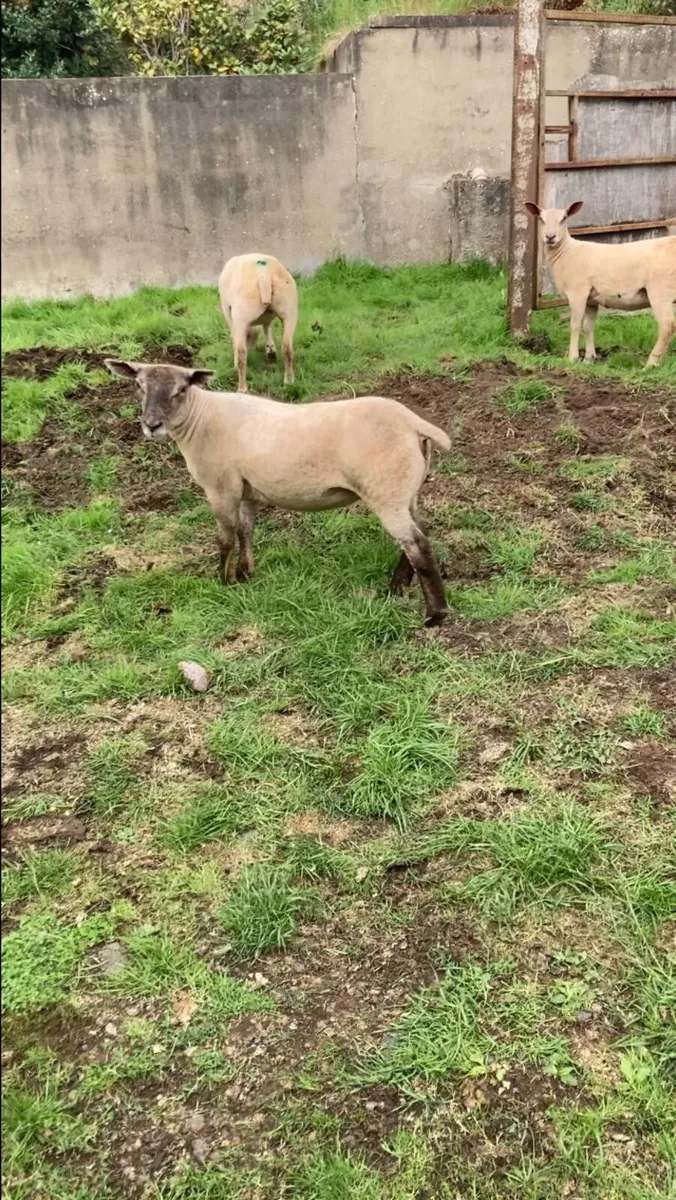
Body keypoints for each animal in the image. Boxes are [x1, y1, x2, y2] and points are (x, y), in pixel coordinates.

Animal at [103, 360, 451, 627]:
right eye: (139, 386)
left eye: (181, 389)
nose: (152, 425)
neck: (200, 418)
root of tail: (414, 424)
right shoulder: (246, 489)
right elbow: (245, 531)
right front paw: (245, 573)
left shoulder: (220, 487)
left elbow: (225, 538)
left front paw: (223, 582)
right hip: (405, 491)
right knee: (417, 536)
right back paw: (396, 588)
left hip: (386, 491)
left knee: (418, 545)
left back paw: (435, 614)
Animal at [218, 253, 298, 393]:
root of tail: (264, 275)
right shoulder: (267, 317)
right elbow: (267, 326)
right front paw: (271, 351)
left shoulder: (229, 314)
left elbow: (235, 340)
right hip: (289, 309)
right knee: (287, 348)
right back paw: (289, 381)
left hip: (241, 313)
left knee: (242, 353)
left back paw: (242, 388)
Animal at [526, 201, 676, 367]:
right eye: (541, 219)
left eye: (564, 218)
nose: (550, 237)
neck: (566, 252)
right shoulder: (591, 299)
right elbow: (588, 326)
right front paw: (589, 358)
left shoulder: (578, 293)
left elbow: (575, 324)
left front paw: (572, 358)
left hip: (660, 291)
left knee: (668, 326)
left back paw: (651, 364)